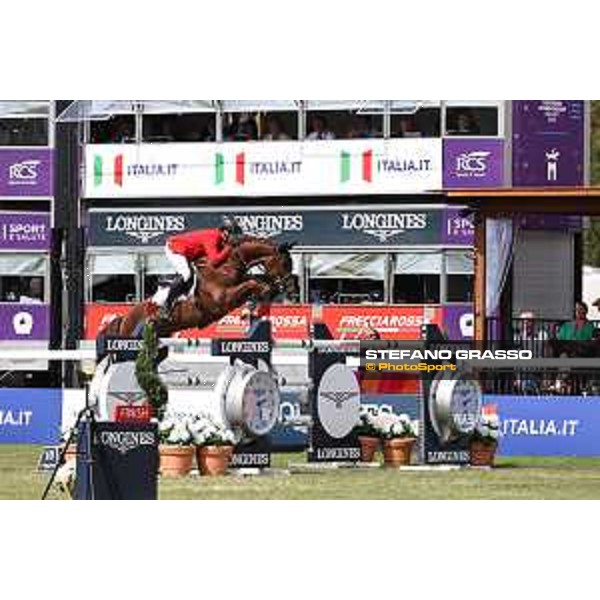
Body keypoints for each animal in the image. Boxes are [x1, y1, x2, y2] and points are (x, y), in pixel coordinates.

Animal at [101, 234, 298, 338]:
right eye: (285, 263)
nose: (292, 290)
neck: (225, 268)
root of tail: (124, 318)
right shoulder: (222, 300)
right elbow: (253, 284)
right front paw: (251, 309)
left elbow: (256, 283)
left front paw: (251, 309)